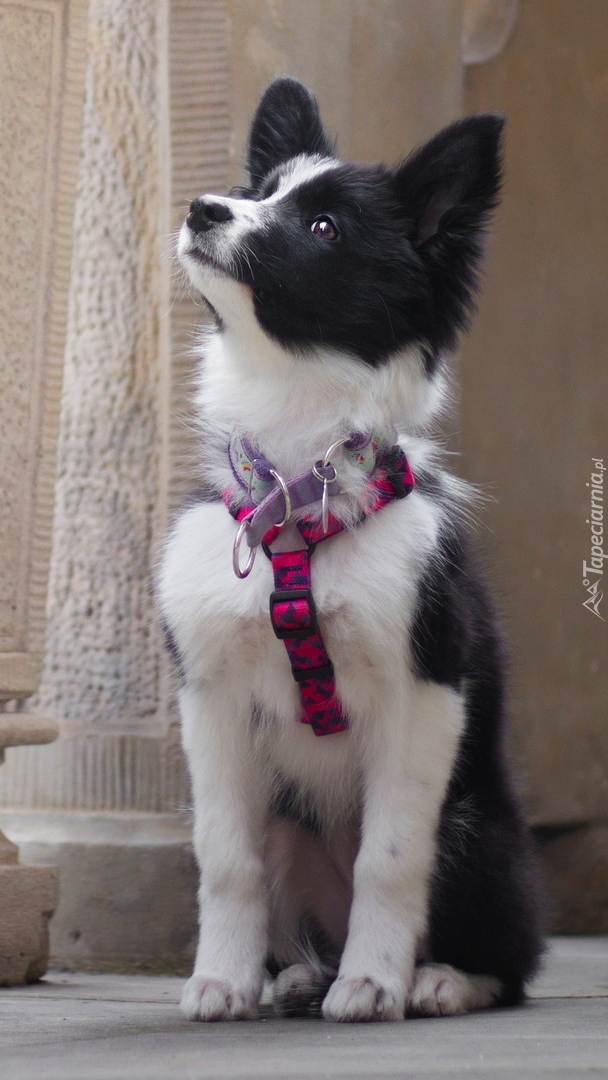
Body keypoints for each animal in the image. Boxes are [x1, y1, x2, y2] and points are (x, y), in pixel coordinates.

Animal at [160, 76, 542, 1019]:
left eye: (325, 227)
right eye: (261, 190)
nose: (203, 207)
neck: (294, 498)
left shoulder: (424, 692)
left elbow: (390, 858)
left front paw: (376, 980)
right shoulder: (212, 699)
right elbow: (226, 858)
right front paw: (221, 978)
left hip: (479, 832)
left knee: (512, 956)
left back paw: (432, 977)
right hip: (290, 821)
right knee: (291, 903)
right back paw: (297, 973)